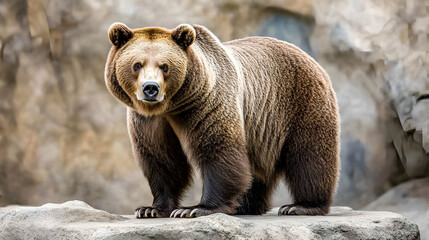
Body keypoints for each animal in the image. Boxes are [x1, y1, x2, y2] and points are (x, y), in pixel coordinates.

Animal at [105, 22, 340, 218]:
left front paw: (194, 209)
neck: (172, 107)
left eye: (165, 66)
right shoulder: (149, 121)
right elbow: (162, 160)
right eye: (137, 64)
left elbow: (217, 150)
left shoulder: (205, 105)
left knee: (309, 157)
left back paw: (301, 205)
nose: (150, 88)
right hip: (260, 130)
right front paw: (150, 209)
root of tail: (309, 58)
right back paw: (245, 206)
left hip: (299, 104)